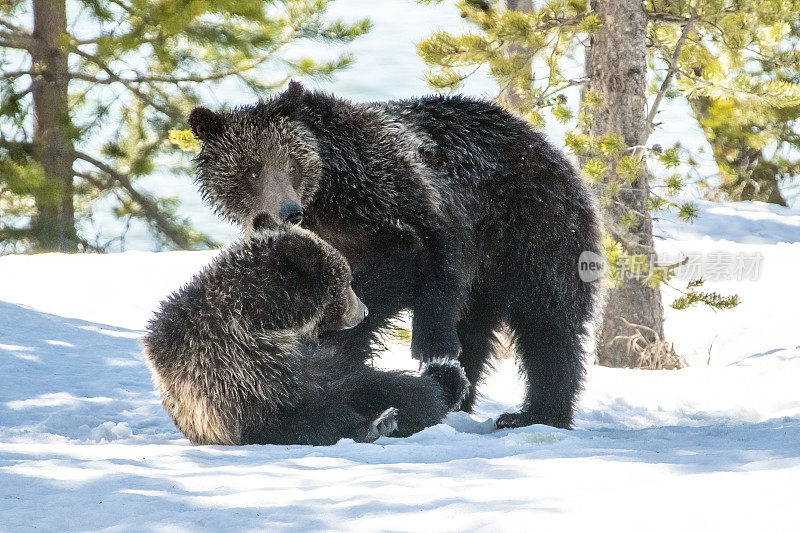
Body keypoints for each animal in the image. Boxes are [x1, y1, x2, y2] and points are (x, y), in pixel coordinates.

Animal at [144, 225, 468, 444]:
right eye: (344, 283)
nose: (360, 311)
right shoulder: (233, 369)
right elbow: (302, 418)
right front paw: (371, 424)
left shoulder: (309, 349)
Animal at [189, 82, 600, 428]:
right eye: (252, 170)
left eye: (292, 164)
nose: (289, 211)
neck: (328, 196)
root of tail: (552, 148)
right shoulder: (328, 237)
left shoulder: (399, 192)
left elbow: (427, 259)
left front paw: (429, 345)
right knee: (479, 328)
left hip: (532, 228)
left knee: (546, 320)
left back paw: (535, 413)